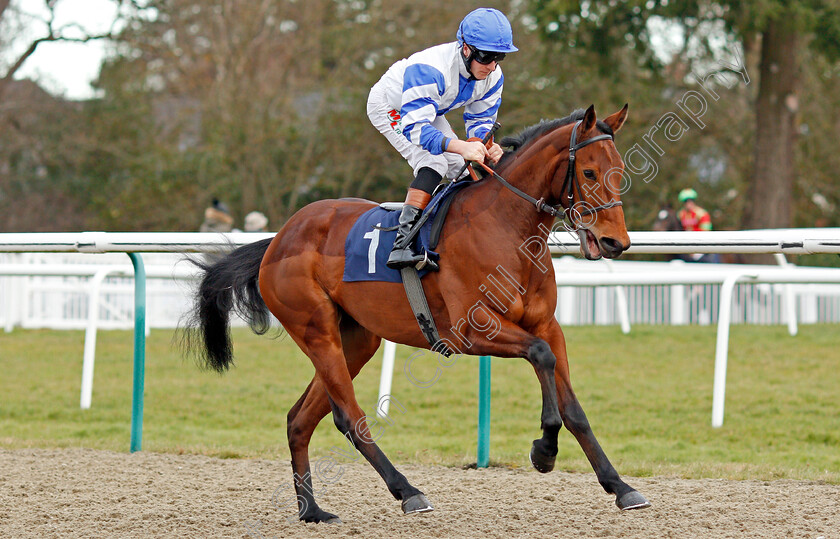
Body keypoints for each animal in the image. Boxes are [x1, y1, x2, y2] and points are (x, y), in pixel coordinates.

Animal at [184, 104, 652, 524]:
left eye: (618, 171)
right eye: (588, 173)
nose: (615, 242)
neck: (505, 228)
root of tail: (278, 239)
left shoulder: (547, 326)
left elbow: (573, 405)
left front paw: (620, 486)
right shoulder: (473, 332)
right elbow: (540, 356)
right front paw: (544, 450)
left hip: (357, 340)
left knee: (299, 419)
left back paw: (311, 510)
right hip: (317, 331)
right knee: (349, 417)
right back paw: (407, 492)